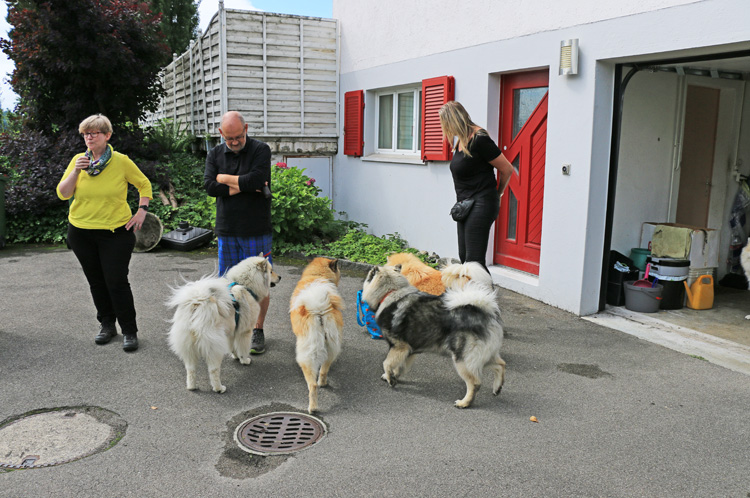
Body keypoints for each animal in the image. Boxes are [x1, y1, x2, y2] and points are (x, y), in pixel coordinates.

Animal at [169, 256, 280, 392]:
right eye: (271, 271)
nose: (280, 277)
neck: (246, 286)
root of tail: (197, 304)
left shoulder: (232, 331)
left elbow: (233, 347)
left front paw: (236, 356)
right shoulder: (245, 332)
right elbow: (243, 348)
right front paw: (244, 360)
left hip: (189, 347)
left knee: (190, 369)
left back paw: (191, 387)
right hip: (214, 347)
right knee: (213, 370)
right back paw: (219, 388)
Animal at [290, 256, 346, 412]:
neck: (317, 275)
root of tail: (319, 309)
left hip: (307, 354)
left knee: (312, 385)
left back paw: (313, 408)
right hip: (331, 346)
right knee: (323, 370)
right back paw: (323, 383)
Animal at [362, 264, 508, 408]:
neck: (391, 292)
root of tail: (484, 312)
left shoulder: (399, 347)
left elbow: (386, 363)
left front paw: (390, 379)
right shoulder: (409, 351)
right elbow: (400, 366)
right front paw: (394, 376)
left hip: (463, 359)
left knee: (475, 383)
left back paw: (464, 403)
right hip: (484, 355)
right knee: (501, 364)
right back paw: (497, 388)